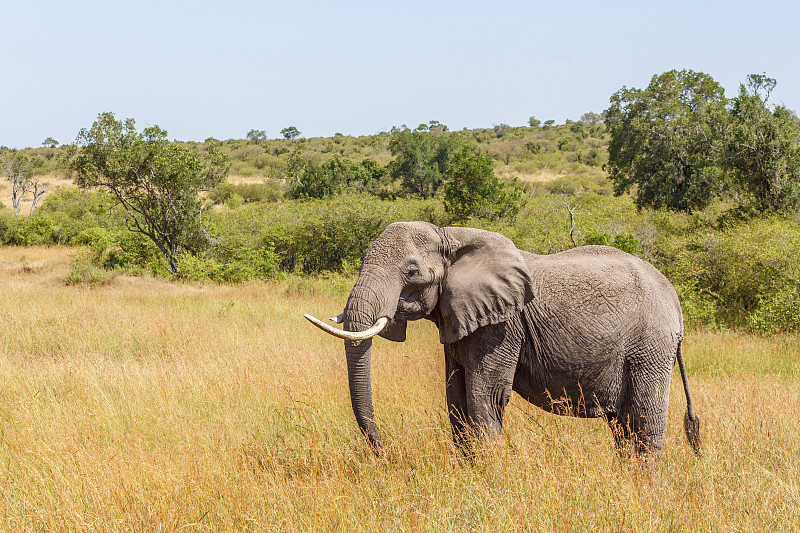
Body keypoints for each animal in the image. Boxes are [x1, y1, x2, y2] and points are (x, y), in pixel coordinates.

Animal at [306, 220, 700, 458]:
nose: (385, 451)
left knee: (644, 425)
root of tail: (676, 302)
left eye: (412, 271)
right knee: (623, 428)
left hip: (650, 347)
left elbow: (485, 396)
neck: (450, 236)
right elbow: (456, 398)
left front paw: (491, 475)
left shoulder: (502, 326)